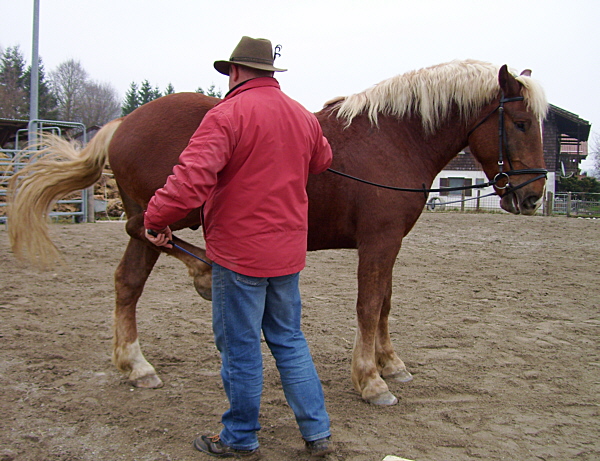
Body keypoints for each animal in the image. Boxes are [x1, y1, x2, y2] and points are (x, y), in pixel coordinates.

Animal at [5, 59, 548, 404]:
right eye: (521, 122)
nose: (533, 195)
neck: (392, 139)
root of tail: (126, 123)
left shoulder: (389, 243)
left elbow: (385, 303)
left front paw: (391, 363)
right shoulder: (377, 242)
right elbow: (369, 304)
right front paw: (371, 379)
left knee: (128, 281)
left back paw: (136, 365)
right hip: (170, 208)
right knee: (143, 229)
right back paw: (203, 274)